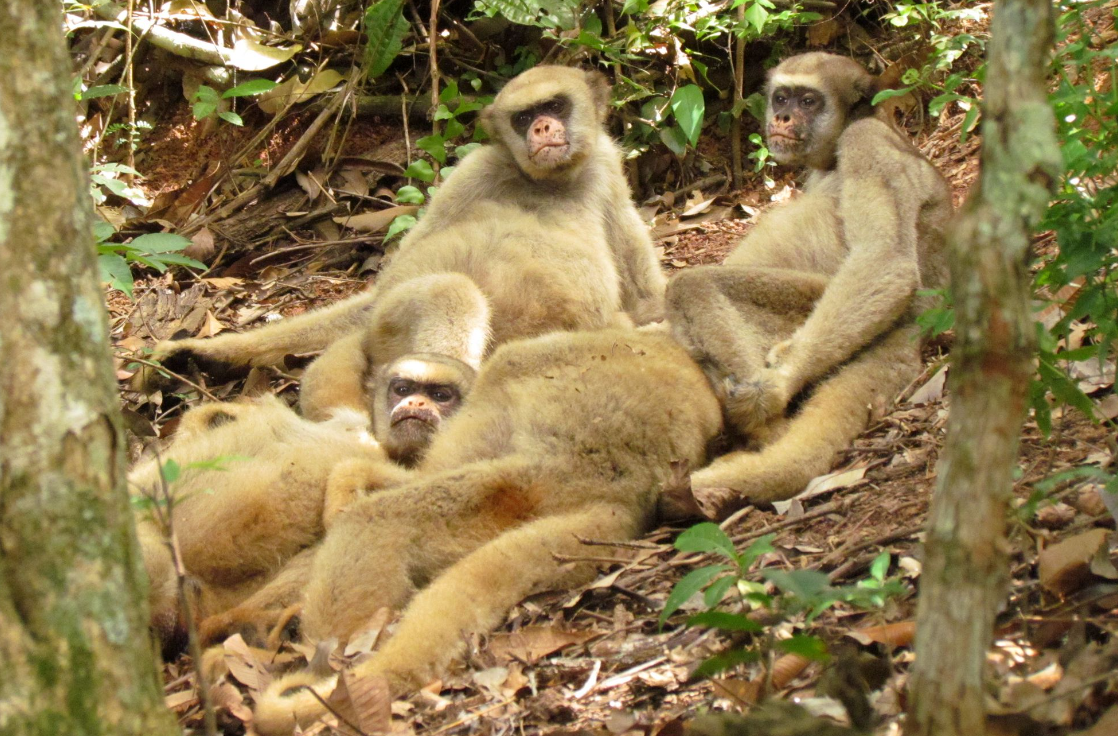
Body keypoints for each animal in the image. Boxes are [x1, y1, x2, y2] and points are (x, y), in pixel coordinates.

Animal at [247, 328, 724, 733]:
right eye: (401, 390)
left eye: (439, 396)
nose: (415, 406)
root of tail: (631, 487)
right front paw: (350, 477)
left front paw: (348, 482)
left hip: (553, 467)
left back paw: (326, 660)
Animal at [661, 51, 952, 512]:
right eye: (782, 97)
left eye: (808, 101)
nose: (782, 115)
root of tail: (918, 325)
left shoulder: (866, 142)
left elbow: (886, 261)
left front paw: (780, 383)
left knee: (690, 286)